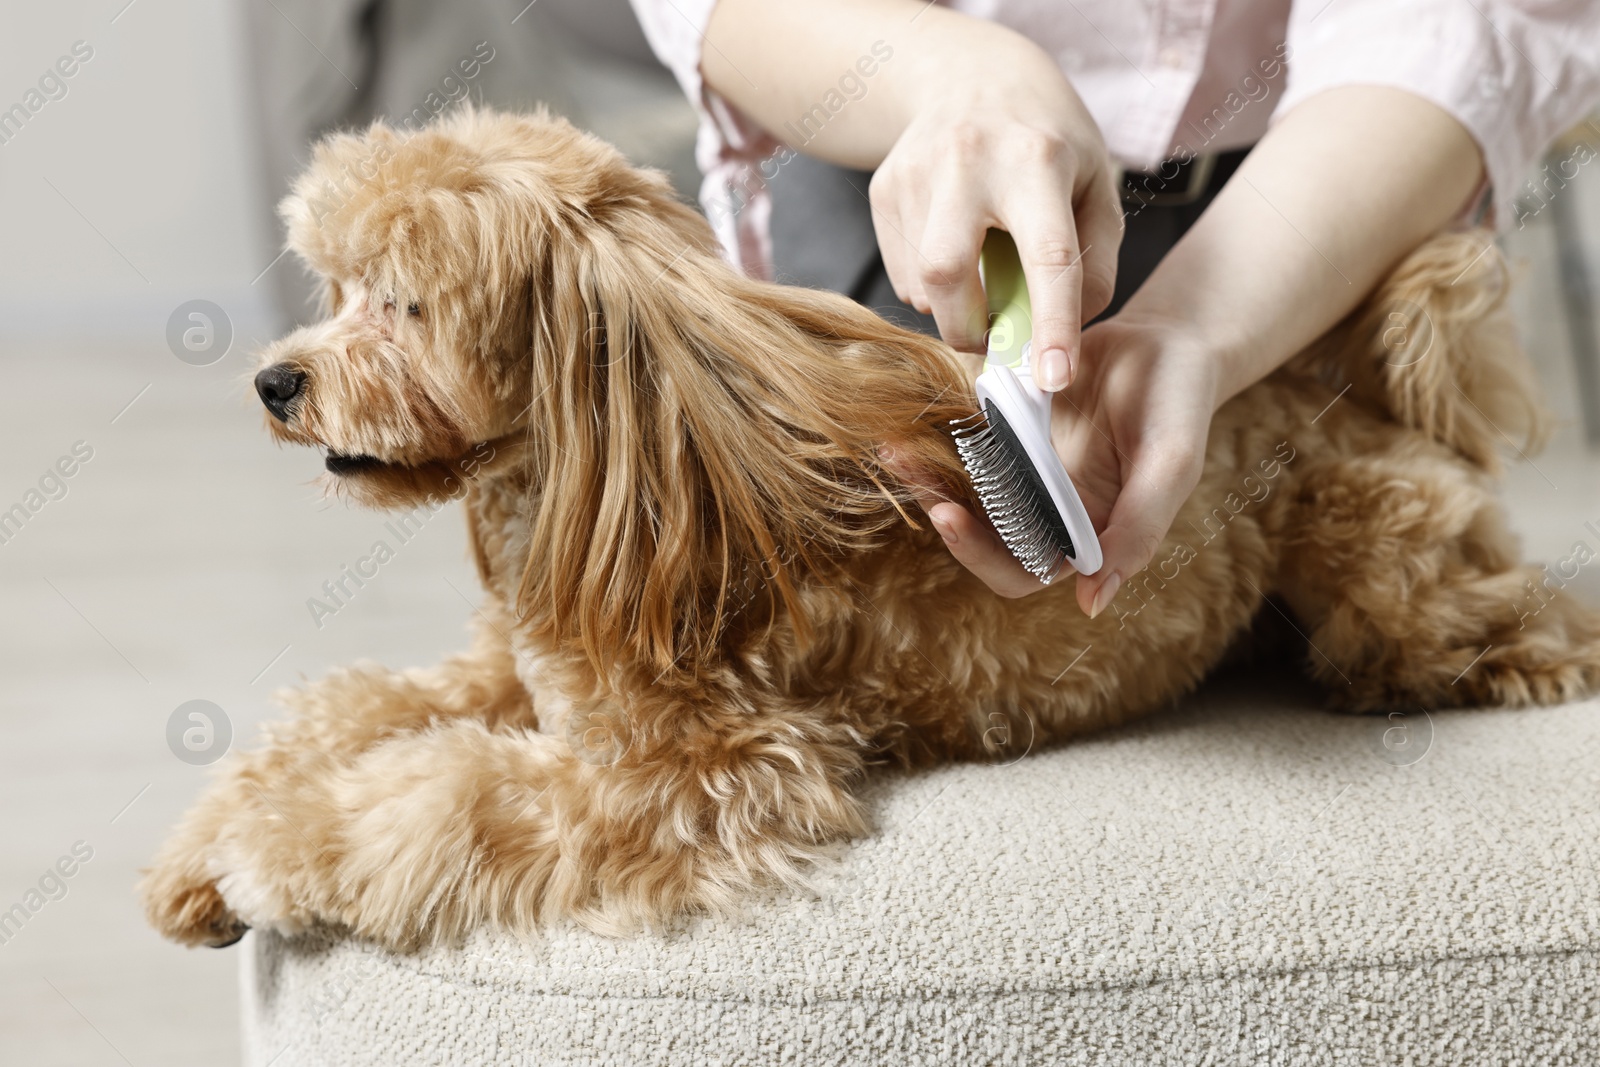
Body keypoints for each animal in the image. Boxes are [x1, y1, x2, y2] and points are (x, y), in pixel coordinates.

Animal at [144, 108, 1600, 953]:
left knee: (1494, 618)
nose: (275, 381)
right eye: (334, 286)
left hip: (1387, 570)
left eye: (403, 302)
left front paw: (273, 850)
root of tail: (1342, 373)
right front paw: (202, 848)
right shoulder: (515, 668)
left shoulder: (704, 771)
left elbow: (447, 795)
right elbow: (359, 706)